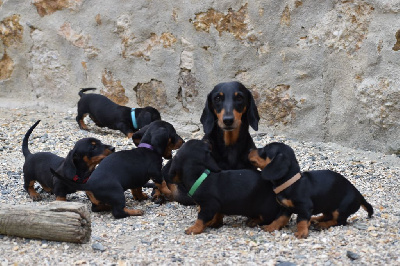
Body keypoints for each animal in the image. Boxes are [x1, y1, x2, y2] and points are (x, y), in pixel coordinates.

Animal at [51, 120, 184, 218]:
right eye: (174, 133)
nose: (183, 141)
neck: (148, 148)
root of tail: (89, 185)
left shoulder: (136, 179)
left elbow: (137, 189)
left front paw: (140, 196)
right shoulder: (156, 173)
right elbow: (162, 183)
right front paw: (168, 193)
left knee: (97, 208)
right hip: (117, 193)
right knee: (118, 212)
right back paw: (135, 212)